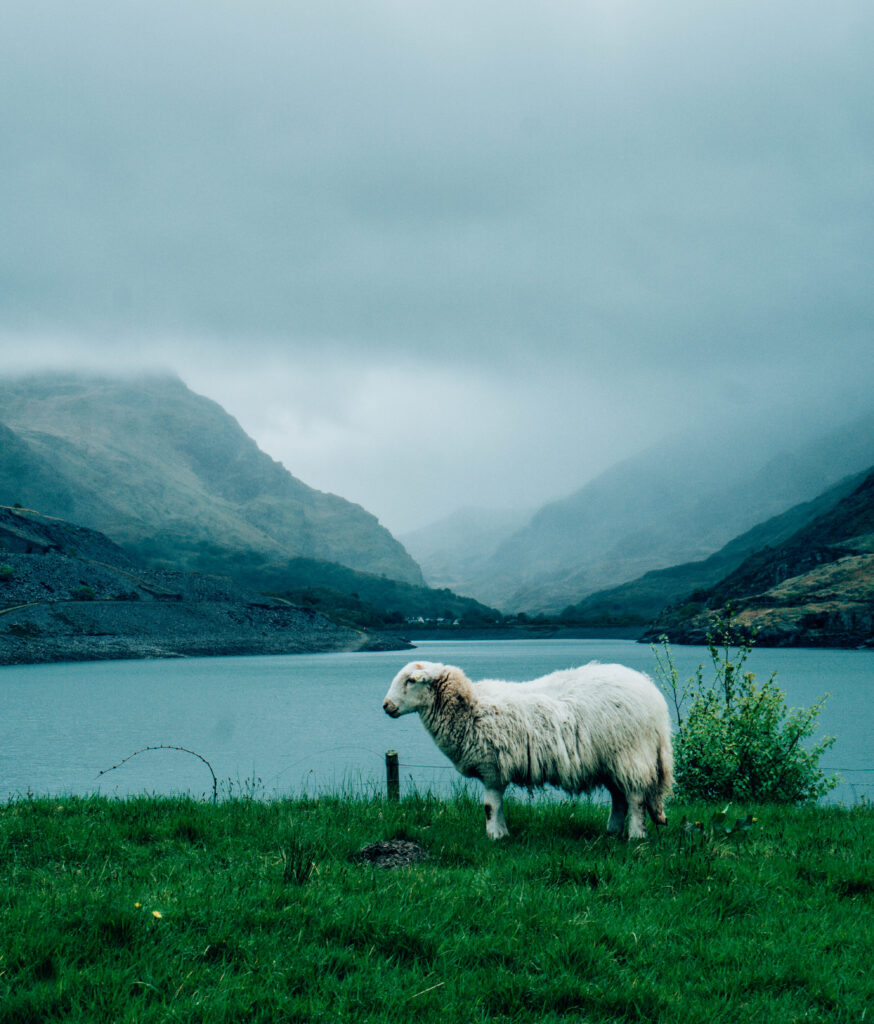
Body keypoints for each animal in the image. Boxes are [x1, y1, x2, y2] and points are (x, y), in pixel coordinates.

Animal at [382, 659, 679, 835]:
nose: (386, 706)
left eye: (410, 680)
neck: (470, 707)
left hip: (630, 752)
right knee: (619, 797)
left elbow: (489, 806)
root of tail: (654, 698)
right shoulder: (495, 771)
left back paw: (635, 836)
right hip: (609, 761)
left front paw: (494, 836)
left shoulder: (492, 767)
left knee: (636, 797)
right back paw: (611, 831)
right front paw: (502, 834)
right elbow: (497, 806)